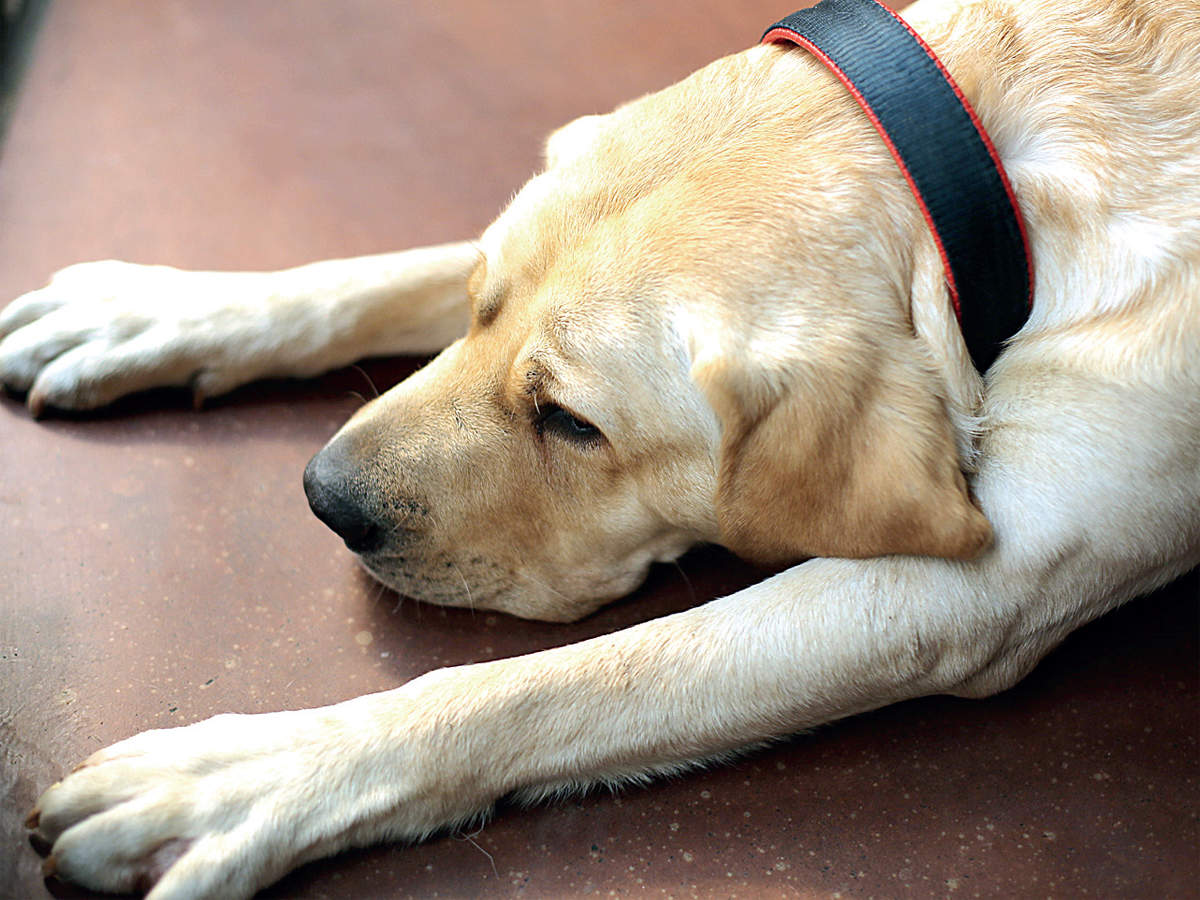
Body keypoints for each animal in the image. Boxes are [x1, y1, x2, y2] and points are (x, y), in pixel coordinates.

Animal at [4, 0, 1195, 897]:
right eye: (478, 305)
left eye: (574, 423)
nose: (323, 497)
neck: (998, 160)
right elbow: (382, 273)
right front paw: (168, 308)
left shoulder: (981, 588)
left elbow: (543, 686)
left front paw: (250, 774)